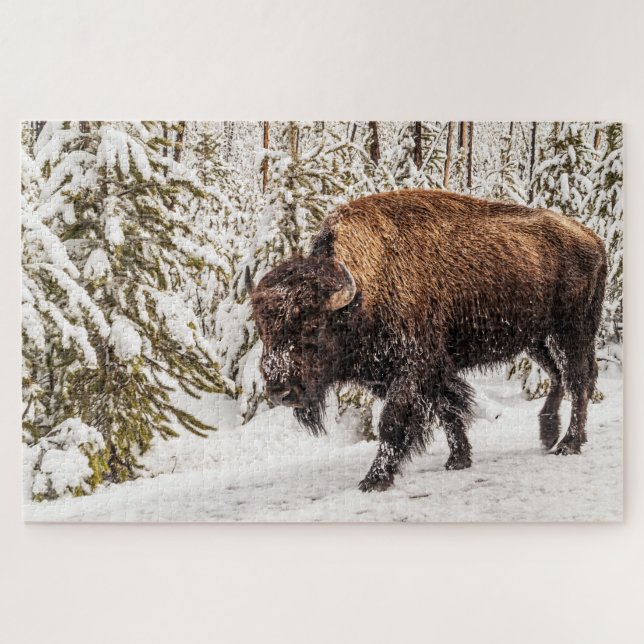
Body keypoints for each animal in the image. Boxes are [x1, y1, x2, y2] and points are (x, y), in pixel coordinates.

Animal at [247, 189, 607, 491]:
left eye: (312, 327)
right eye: (263, 330)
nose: (281, 392)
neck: (365, 289)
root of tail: (593, 238)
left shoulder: (412, 368)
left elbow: (393, 422)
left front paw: (375, 480)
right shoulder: (420, 372)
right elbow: (447, 410)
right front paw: (458, 460)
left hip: (573, 331)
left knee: (579, 379)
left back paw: (568, 444)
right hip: (537, 339)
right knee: (559, 375)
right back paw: (548, 435)